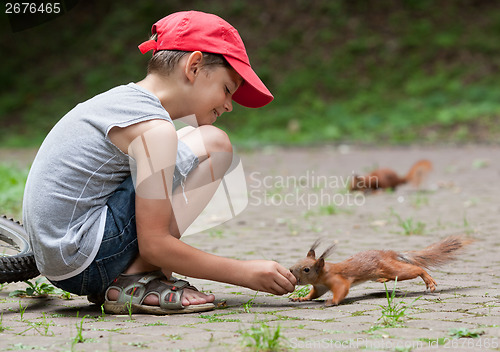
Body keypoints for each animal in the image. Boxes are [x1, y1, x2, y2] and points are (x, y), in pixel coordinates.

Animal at [290, 235, 472, 306]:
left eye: (306, 269)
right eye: (297, 261)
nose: (290, 270)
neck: (323, 274)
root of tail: (388, 253)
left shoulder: (338, 280)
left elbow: (342, 290)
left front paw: (332, 301)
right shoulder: (320, 287)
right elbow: (314, 295)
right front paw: (301, 298)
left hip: (393, 269)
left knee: (417, 269)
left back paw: (428, 280)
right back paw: (382, 280)